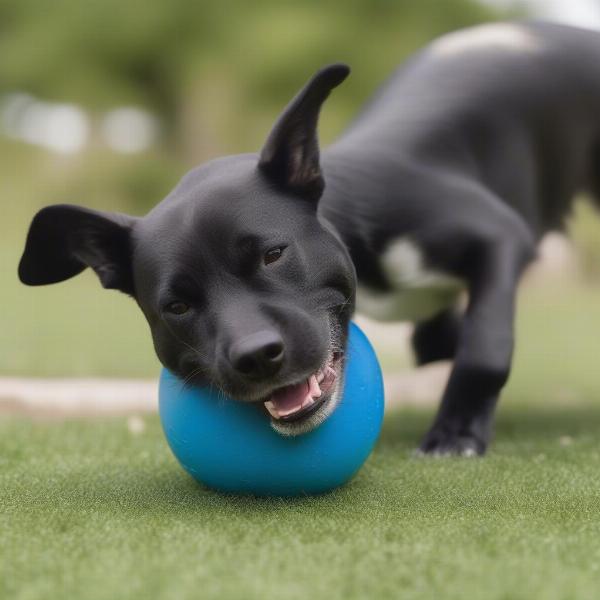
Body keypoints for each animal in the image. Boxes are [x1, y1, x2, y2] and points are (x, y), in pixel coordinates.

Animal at [16, 22, 600, 454]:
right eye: (177, 307)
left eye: (274, 255)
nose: (257, 357)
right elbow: (445, 341)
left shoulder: (500, 236)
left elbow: (485, 344)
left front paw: (457, 431)